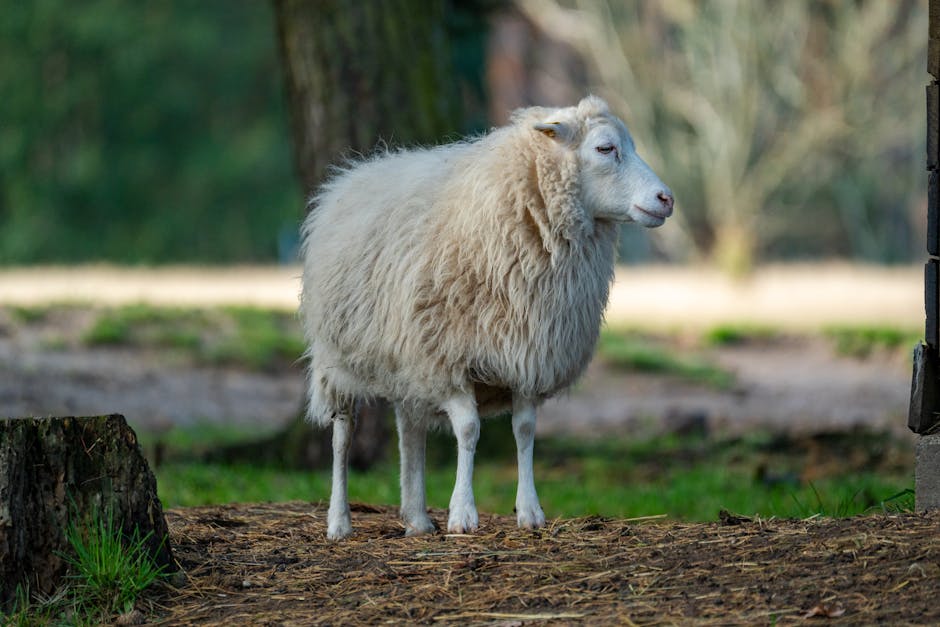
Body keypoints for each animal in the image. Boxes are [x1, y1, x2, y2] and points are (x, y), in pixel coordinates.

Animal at [300, 95, 673, 540]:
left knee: (410, 430)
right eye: (605, 148)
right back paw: (340, 521)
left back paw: (417, 518)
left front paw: (530, 512)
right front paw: (463, 514)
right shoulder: (450, 358)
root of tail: (353, 173)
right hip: (338, 358)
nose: (666, 198)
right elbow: (468, 430)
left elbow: (524, 430)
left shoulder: (526, 356)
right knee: (343, 434)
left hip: (409, 359)